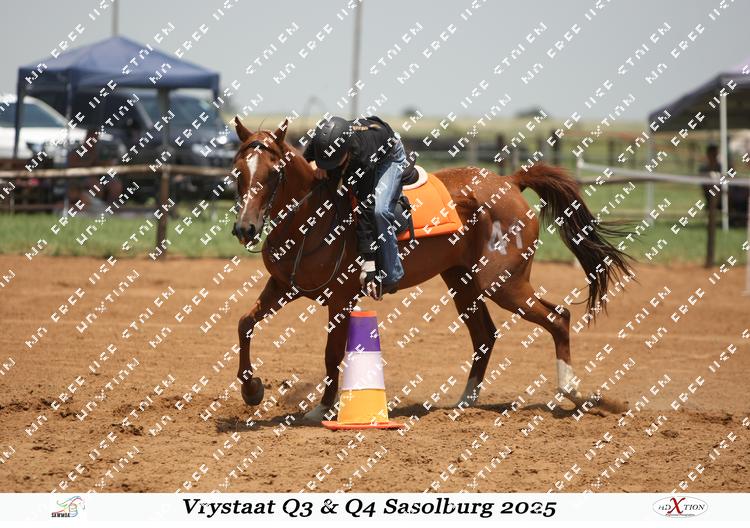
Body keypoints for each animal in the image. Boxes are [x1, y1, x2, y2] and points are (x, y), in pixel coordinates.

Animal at [230, 117, 631, 422]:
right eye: (238, 172)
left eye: (274, 173)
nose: (245, 228)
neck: (316, 219)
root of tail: (509, 182)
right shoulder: (283, 286)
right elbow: (245, 323)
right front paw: (252, 390)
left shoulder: (341, 298)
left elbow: (331, 353)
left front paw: (321, 410)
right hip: (463, 281)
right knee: (485, 335)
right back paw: (465, 401)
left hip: (505, 284)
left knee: (558, 317)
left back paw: (571, 391)